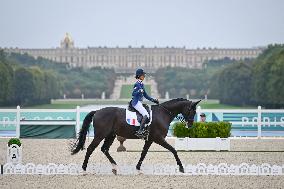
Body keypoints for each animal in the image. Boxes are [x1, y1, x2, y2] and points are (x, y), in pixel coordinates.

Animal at [71, 99, 200, 174]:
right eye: (191, 110)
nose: (190, 125)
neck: (163, 113)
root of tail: (97, 111)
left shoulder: (150, 140)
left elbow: (143, 153)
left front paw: (138, 168)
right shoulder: (159, 139)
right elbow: (173, 150)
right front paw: (181, 168)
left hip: (110, 135)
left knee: (104, 149)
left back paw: (115, 167)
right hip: (100, 135)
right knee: (90, 149)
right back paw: (84, 169)